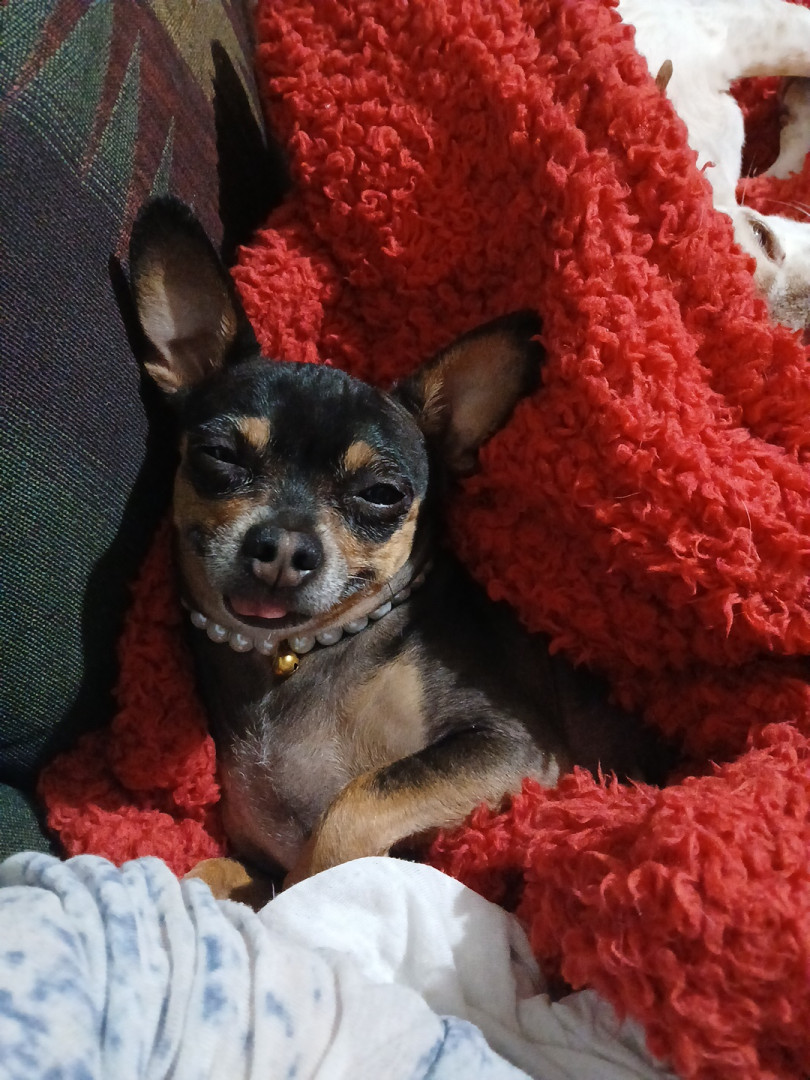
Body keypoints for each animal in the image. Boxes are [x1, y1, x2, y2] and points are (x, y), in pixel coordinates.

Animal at [128, 198, 666, 893]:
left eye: (382, 493)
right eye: (219, 456)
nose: (283, 548)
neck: (296, 658)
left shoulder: (509, 748)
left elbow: (354, 805)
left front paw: (308, 894)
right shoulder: (253, 855)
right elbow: (210, 869)